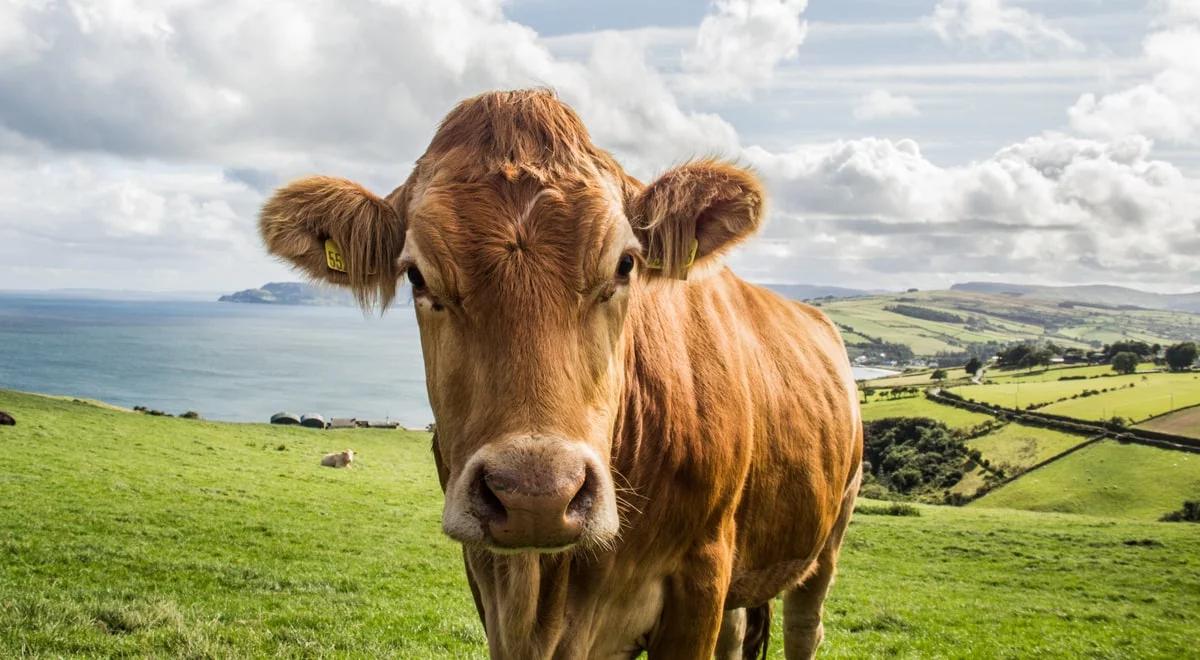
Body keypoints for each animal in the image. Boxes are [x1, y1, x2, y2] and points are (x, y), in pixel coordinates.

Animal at [260, 89, 864, 660]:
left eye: (625, 264)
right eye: (416, 276)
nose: (536, 495)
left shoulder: (701, 572)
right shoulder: (488, 578)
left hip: (831, 531)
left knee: (806, 625)